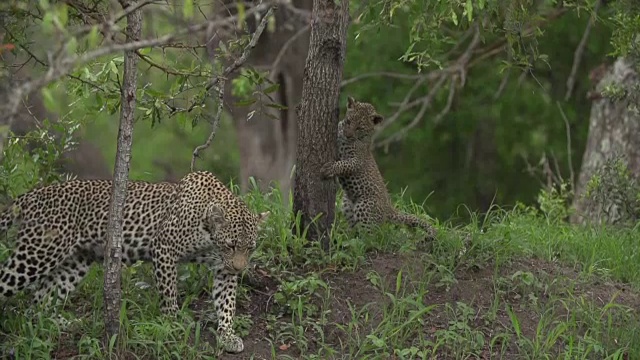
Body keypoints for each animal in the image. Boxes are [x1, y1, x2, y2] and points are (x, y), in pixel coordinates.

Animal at [0, 171, 268, 352]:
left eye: (251, 248)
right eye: (231, 245)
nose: (240, 268)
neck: (210, 235)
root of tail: (32, 194)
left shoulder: (223, 269)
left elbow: (226, 303)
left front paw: (227, 335)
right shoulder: (164, 249)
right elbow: (169, 294)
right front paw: (172, 324)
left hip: (74, 262)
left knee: (39, 303)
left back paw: (59, 323)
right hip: (35, 254)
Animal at [322, 97, 438, 240]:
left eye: (359, 128)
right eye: (349, 121)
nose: (348, 135)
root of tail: (389, 207)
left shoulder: (356, 161)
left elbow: (343, 164)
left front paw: (329, 168)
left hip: (364, 206)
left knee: (373, 236)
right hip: (347, 205)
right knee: (356, 228)